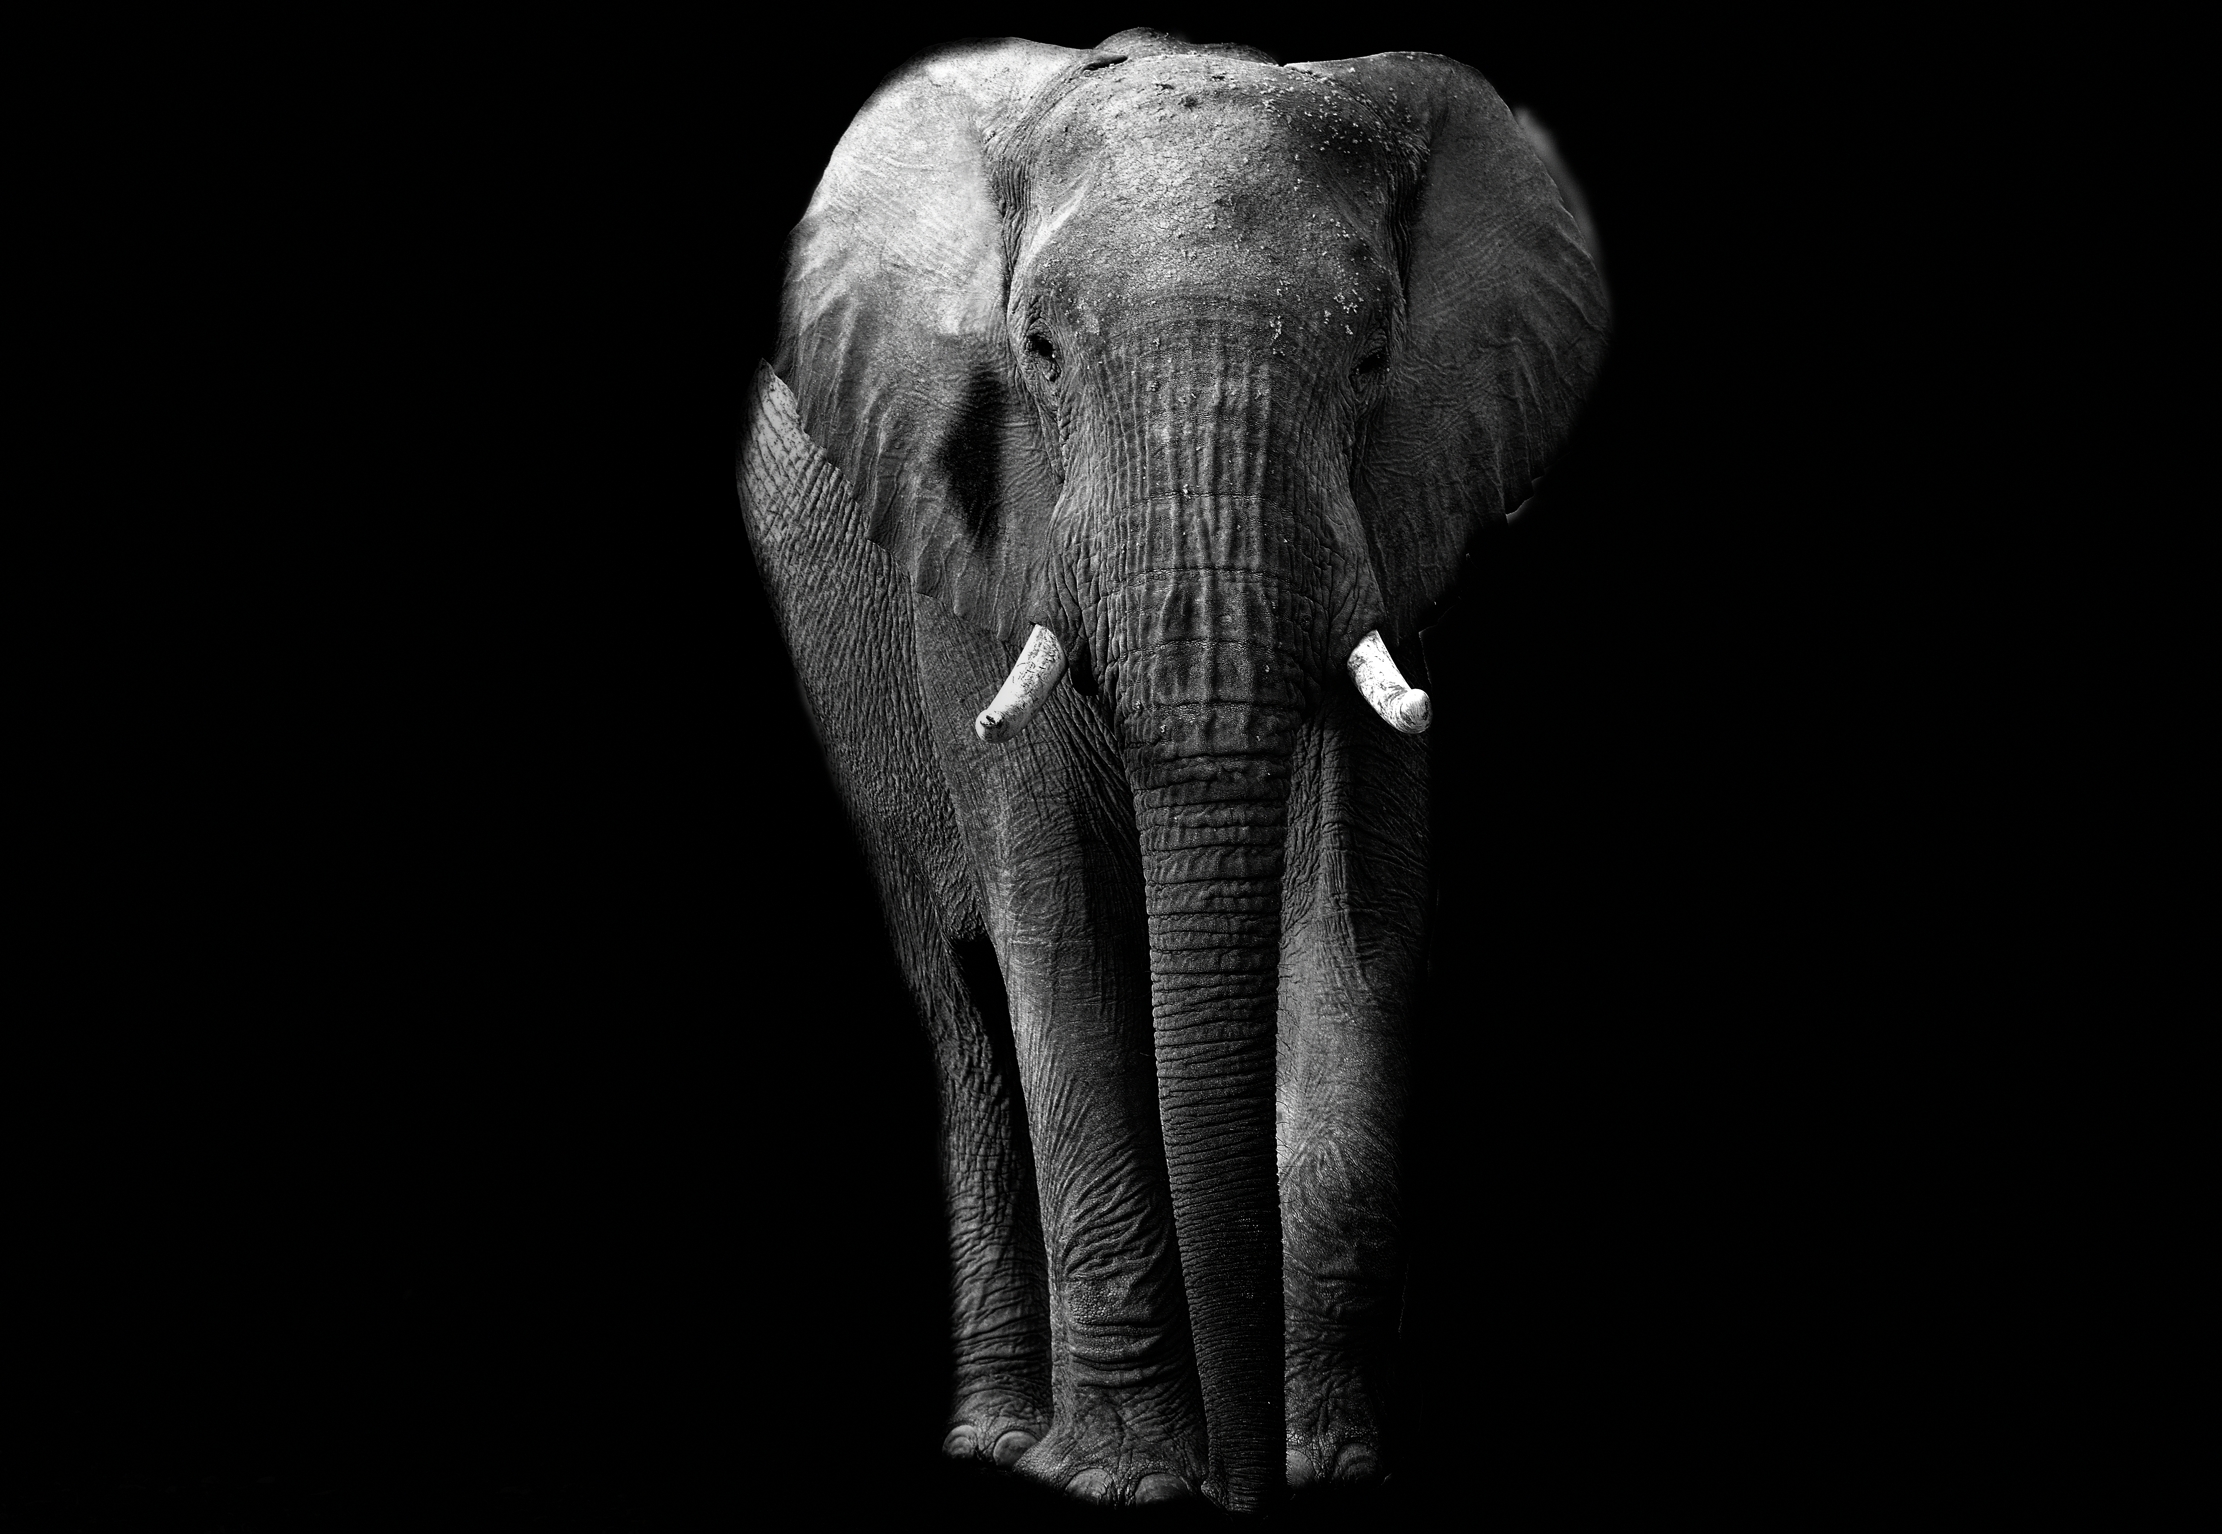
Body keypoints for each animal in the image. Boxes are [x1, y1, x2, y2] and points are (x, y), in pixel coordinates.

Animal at [736, 27, 1606, 1511]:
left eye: (1373, 358)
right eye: (1037, 353)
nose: (1234, 1494)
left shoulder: (1391, 530)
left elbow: (1353, 917)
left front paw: (1318, 1463)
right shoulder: (977, 533)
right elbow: (1059, 927)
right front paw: (1126, 1482)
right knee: (965, 1000)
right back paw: (1003, 1440)